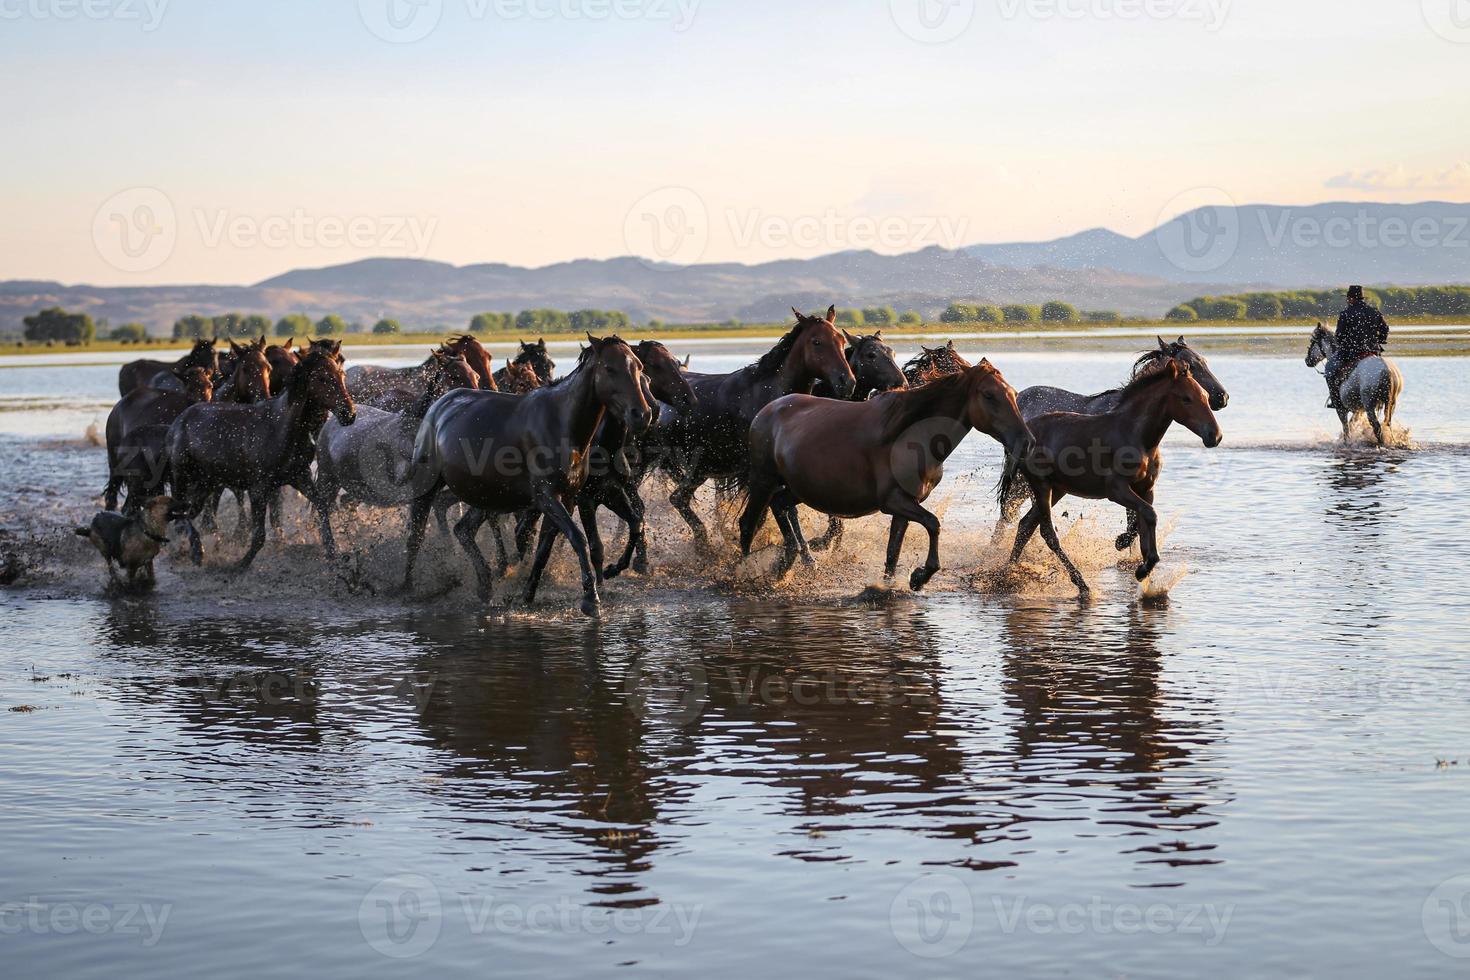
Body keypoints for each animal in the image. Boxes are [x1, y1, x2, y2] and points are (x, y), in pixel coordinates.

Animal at [317, 348, 482, 555]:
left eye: (476, 376)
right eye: (453, 376)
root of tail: (333, 420)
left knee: (346, 504)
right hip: (328, 481)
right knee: (323, 511)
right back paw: (333, 553)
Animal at [405, 333, 652, 617]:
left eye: (639, 368)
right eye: (610, 368)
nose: (643, 415)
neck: (564, 425)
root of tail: (438, 405)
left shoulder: (571, 497)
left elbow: (545, 547)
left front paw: (527, 595)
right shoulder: (549, 496)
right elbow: (578, 538)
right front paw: (591, 599)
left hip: (489, 496)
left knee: (464, 529)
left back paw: (486, 585)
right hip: (427, 484)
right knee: (416, 534)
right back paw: (408, 587)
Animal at [735, 362, 1034, 587]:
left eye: (1013, 393)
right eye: (989, 395)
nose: (1027, 441)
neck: (911, 435)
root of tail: (765, 412)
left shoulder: (906, 505)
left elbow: (893, 553)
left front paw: (890, 587)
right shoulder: (893, 501)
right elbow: (934, 524)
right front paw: (920, 577)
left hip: (798, 489)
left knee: (780, 506)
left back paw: (792, 561)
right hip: (763, 481)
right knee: (748, 524)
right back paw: (742, 569)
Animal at [999, 358, 1228, 599]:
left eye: (1204, 395)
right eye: (1186, 398)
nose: (1215, 435)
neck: (1137, 436)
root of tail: (1024, 434)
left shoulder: (1146, 489)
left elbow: (1144, 526)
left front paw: (1145, 573)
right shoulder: (1116, 490)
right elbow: (1149, 515)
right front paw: (1140, 566)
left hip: (1057, 489)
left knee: (1026, 525)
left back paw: (1007, 572)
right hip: (1041, 485)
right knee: (1046, 532)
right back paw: (1080, 584)